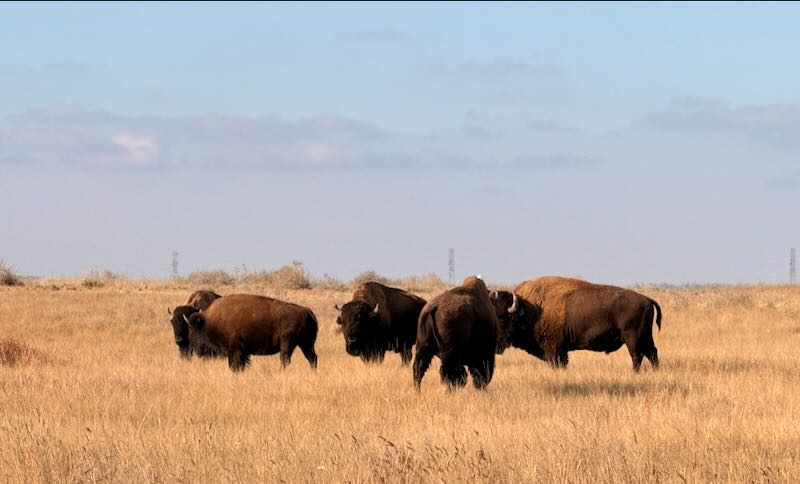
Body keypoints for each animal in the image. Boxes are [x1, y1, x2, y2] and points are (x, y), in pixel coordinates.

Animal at [183, 294, 318, 372]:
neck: (210, 320)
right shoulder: (242, 352)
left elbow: (234, 365)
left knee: (285, 358)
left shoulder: (235, 350)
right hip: (306, 343)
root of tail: (306, 311)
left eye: (193, 329)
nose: (194, 348)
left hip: (288, 342)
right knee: (312, 358)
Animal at [493, 276, 662, 371]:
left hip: (632, 338)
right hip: (645, 336)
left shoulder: (553, 349)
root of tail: (646, 299)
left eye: (502, 318)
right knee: (652, 353)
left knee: (637, 356)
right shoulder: (561, 351)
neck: (531, 309)